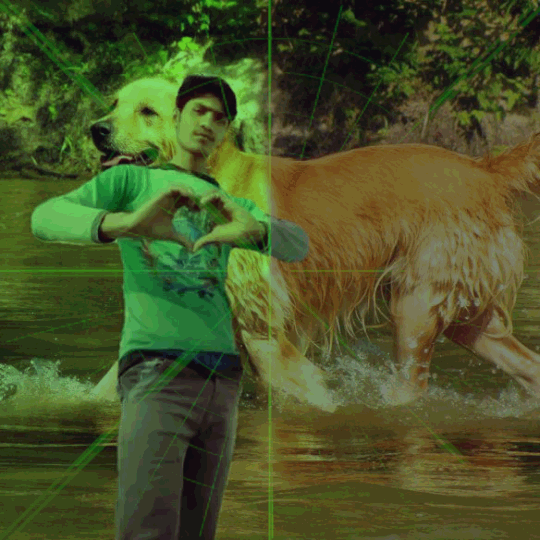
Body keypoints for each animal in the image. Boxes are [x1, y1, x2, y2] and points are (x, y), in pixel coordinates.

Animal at [90, 76, 540, 408]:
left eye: (147, 112)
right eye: (113, 103)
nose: (96, 129)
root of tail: (483, 167)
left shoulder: (263, 329)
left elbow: (311, 391)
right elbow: (107, 384)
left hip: (416, 305)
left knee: (410, 388)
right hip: (469, 314)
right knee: (529, 364)